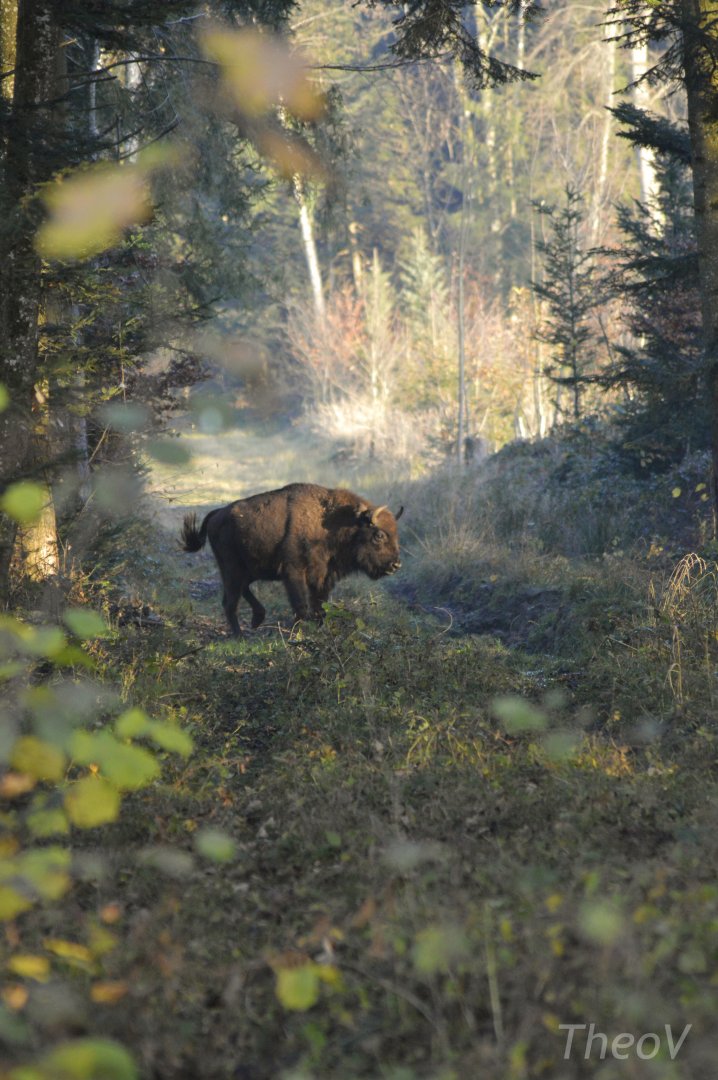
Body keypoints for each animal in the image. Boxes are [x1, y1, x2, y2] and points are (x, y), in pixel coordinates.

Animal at [180, 482, 403, 634]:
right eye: (379, 535)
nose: (396, 565)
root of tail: (218, 514)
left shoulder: (324, 576)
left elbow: (320, 605)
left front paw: (319, 629)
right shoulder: (294, 572)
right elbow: (301, 605)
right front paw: (301, 631)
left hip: (249, 569)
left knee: (241, 590)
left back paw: (256, 620)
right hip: (231, 568)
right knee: (230, 602)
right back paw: (239, 635)